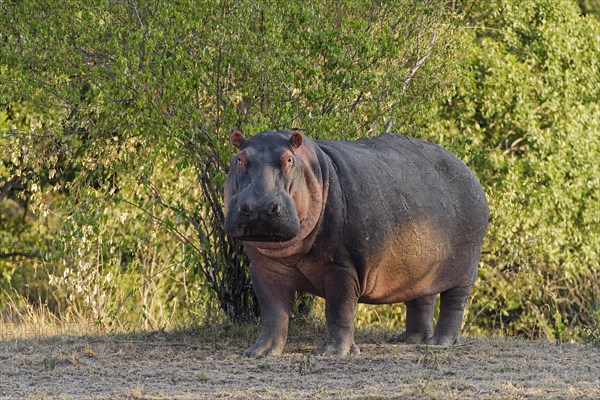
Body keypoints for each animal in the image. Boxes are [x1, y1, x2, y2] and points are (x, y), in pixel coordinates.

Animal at [223, 130, 490, 356]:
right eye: (240, 159)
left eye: (289, 159)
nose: (259, 206)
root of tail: (468, 170)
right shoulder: (263, 269)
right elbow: (272, 311)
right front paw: (259, 352)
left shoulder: (342, 267)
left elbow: (339, 309)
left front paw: (333, 353)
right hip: (420, 266)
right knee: (421, 297)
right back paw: (409, 340)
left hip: (464, 269)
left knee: (454, 303)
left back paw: (441, 343)